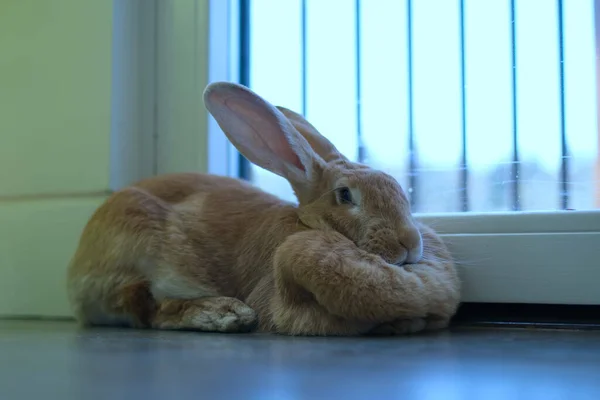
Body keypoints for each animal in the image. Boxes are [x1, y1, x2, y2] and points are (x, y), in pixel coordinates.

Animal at [67, 81, 460, 334]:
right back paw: (223, 314)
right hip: (140, 238)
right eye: (346, 196)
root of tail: (77, 272)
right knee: (147, 309)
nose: (410, 243)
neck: (308, 224)